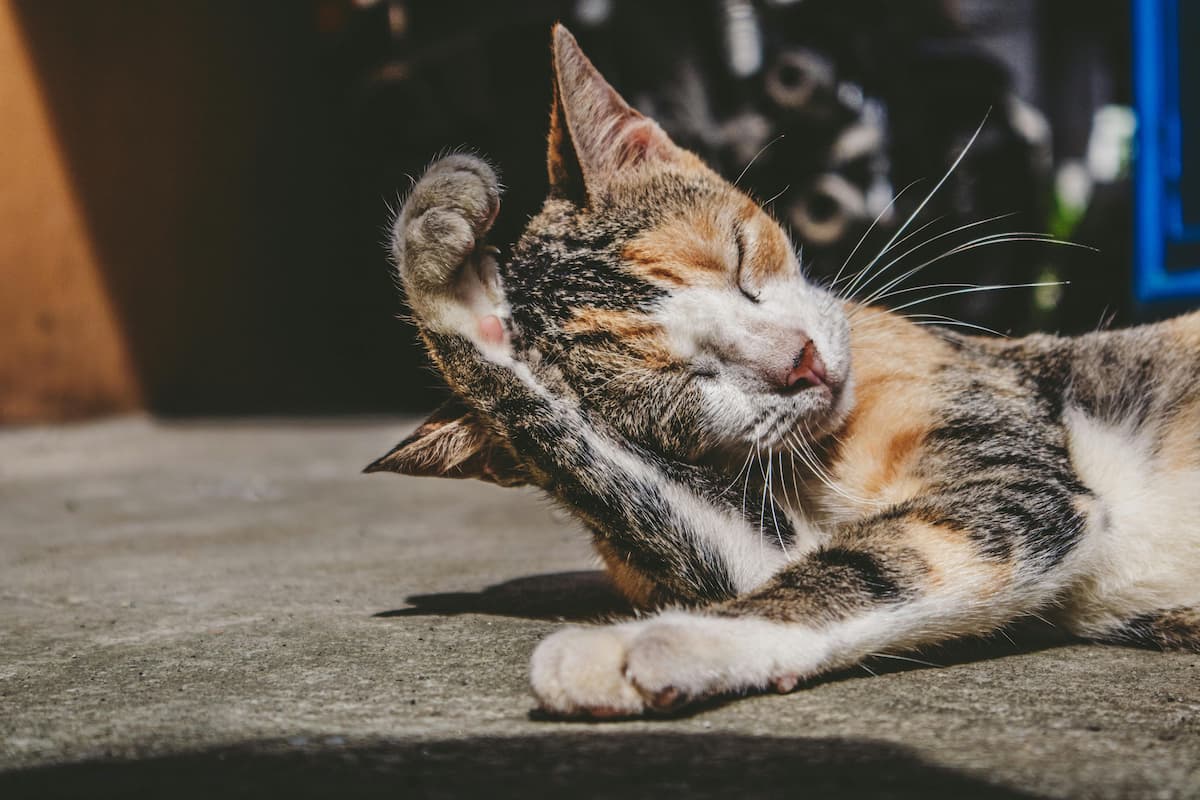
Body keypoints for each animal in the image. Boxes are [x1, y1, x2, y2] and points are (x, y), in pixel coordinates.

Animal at [367, 26, 1200, 719]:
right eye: (686, 383)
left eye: (740, 261)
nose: (800, 362)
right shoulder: (768, 542)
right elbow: (816, 560)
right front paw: (462, 299)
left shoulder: (1012, 473)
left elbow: (863, 565)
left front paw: (632, 646)